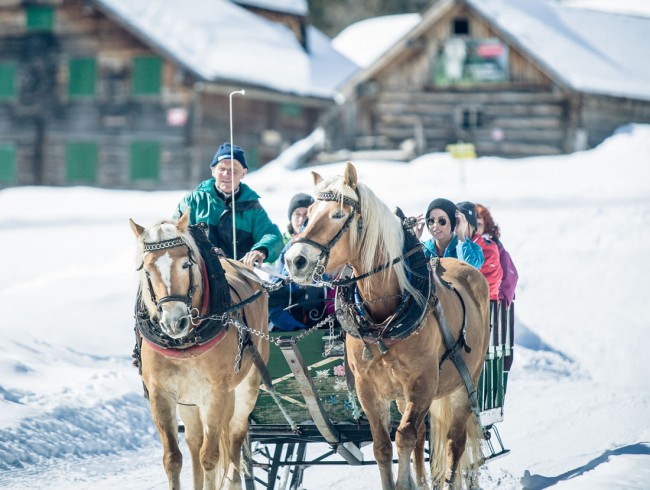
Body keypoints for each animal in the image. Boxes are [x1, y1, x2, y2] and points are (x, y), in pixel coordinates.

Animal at [130, 212, 268, 490]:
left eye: (185, 265)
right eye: (147, 270)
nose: (174, 322)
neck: (185, 343)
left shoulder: (216, 392)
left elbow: (211, 458)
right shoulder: (160, 393)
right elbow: (173, 458)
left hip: (246, 388)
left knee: (234, 439)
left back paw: (235, 479)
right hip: (189, 400)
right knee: (195, 443)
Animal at [284, 165, 486, 490]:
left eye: (338, 214)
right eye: (309, 213)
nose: (294, 260)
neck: (382, 323)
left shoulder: (422, 384)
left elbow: (403, 436)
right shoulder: (368, 389)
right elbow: (382, 446)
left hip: (462, 386)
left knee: (453, 443)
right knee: (422, 439)